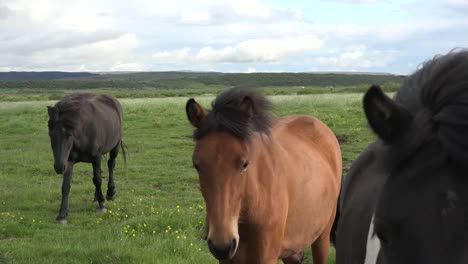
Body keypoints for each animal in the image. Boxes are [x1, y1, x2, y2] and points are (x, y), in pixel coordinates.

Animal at [46, 94, 126, 224]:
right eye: (51, 134)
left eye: (69, 135)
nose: (59, 167)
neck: (83, 132)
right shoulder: (69, 161)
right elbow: (65, 186)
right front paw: (62, 215)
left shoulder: (96, 157)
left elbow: (97, 180)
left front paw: (102, 205)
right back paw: (96, 197)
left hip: (115, 147)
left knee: (111, 165)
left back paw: (110, 193)